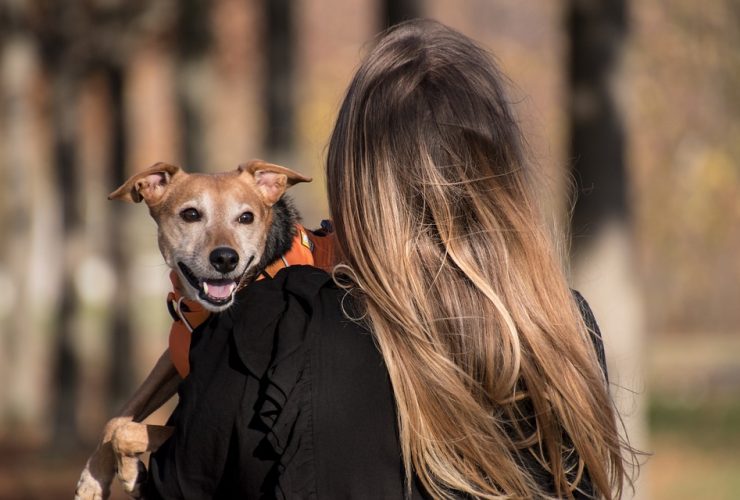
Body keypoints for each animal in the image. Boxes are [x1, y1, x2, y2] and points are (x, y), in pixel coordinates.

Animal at [76, 158, 316, 498]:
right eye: (190, 214)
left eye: (246, 217)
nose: (226, 258)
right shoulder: (172, 359)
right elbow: (118, 417)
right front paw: (92, 480)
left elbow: (127, 430)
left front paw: (131, 473)